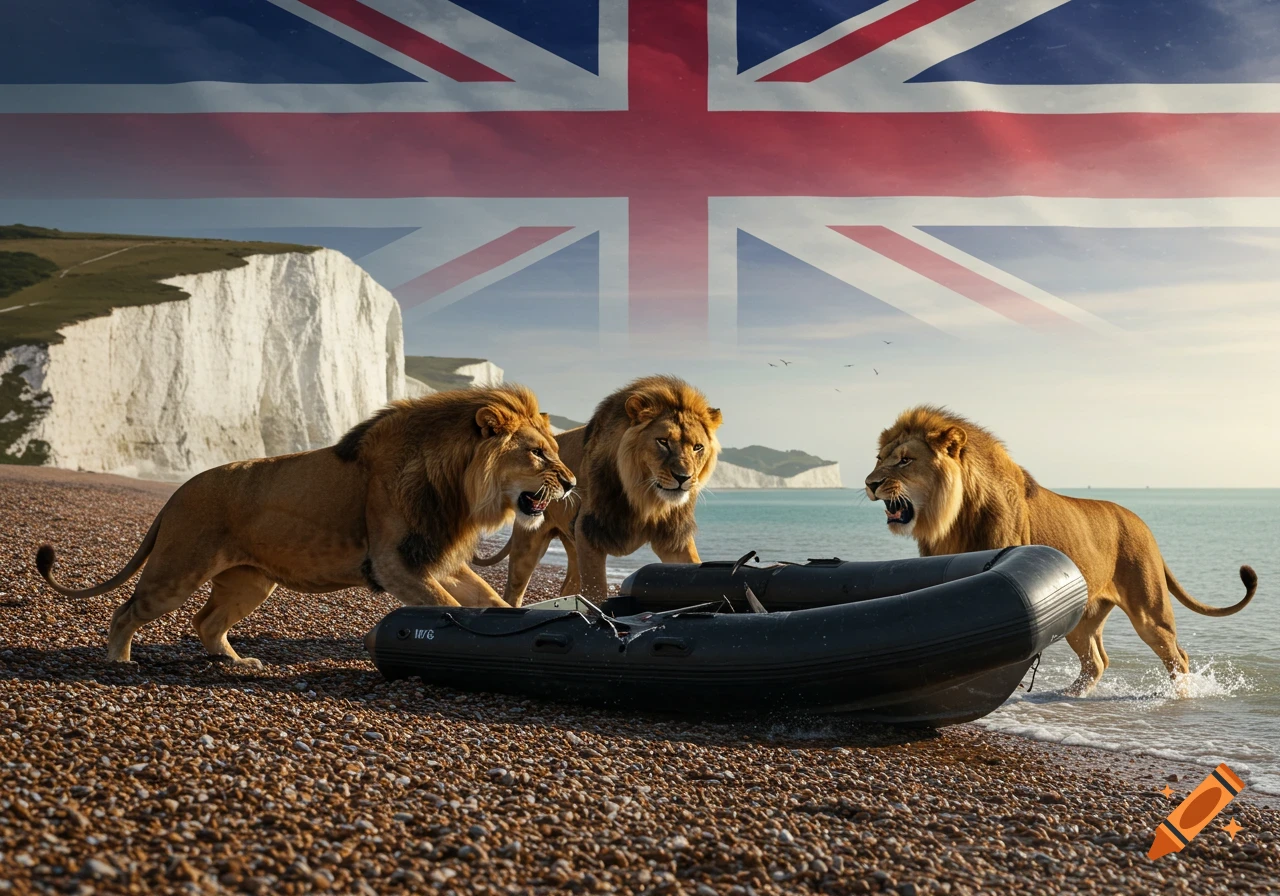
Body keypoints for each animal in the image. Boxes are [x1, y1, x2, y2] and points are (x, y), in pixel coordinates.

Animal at [35, 385, 576, 666]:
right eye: (538, 453)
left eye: (554, 450)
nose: (572, 483)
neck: (458, 487)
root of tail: (174, 494)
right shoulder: (395, 563)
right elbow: (450, 609)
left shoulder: (436, 557)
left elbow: (490, 600)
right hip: (176, 571)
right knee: (125, 611)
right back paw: (119, 662)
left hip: (250, 583)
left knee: (205, 622)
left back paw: (236, 664)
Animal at [473, 375, 723, 604]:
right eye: (662, 441)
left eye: (697, 447)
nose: (683, 478)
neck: (645, 498)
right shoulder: (589, 533)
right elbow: (596, 591)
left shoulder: (673, 539)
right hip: (529, 543)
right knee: (514, 593)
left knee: (567, 590)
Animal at [864, 405, 1257, 697]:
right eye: (879, 458)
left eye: (905, 460)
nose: (870, 483)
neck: (951, 518)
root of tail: (1142, 524)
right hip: (1082, 620)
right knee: (1097, 661)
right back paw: (1069, 694)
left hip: (1150, 612)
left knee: (1179, 656)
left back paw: (1180, 698)